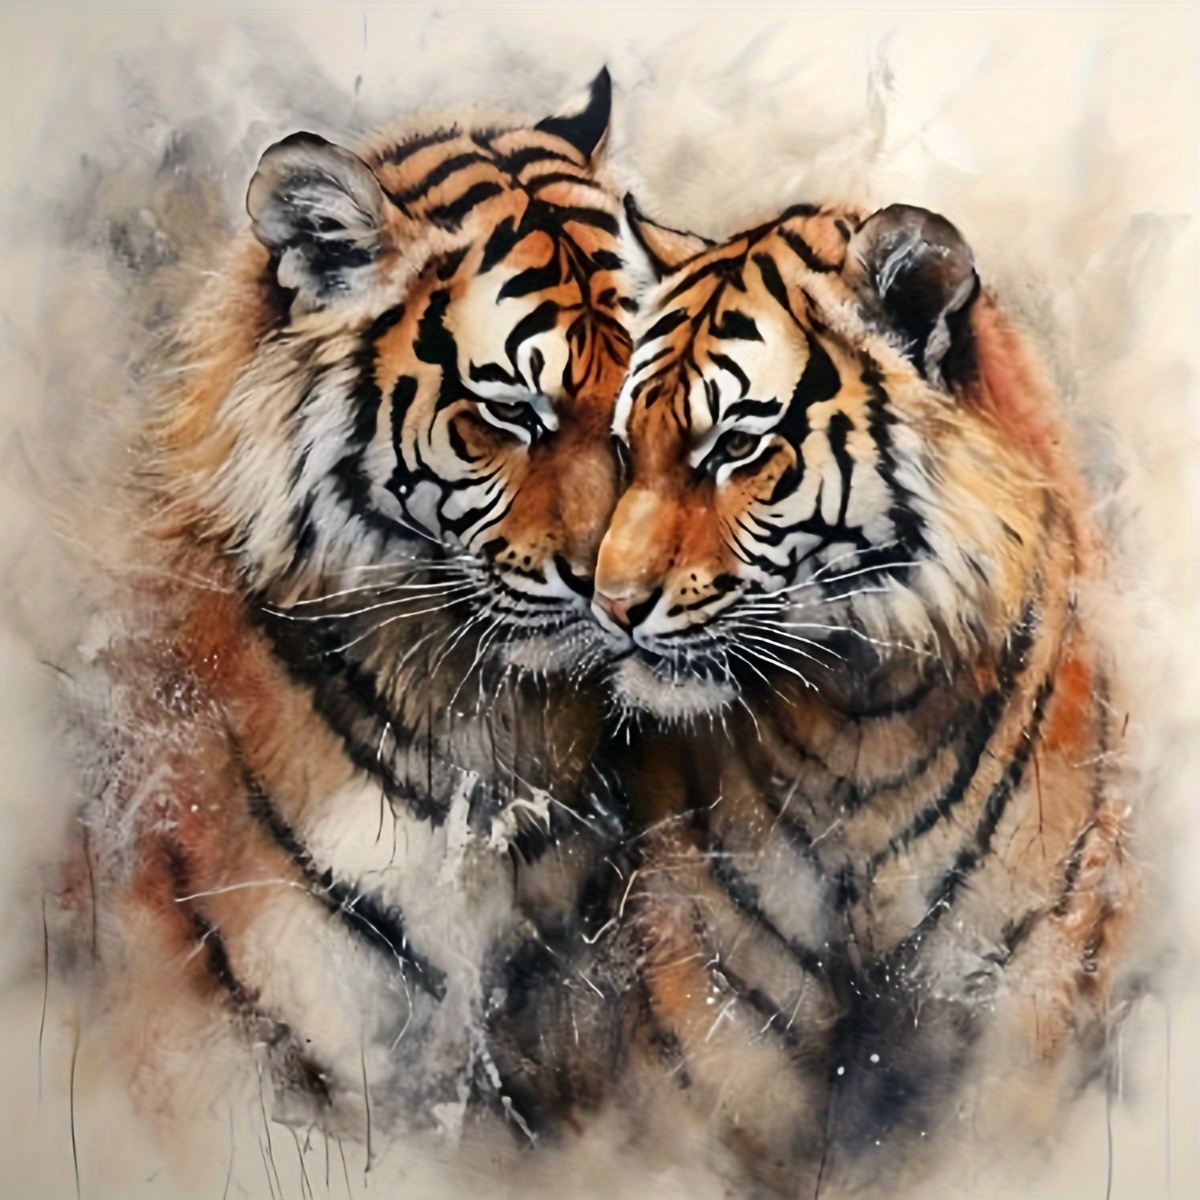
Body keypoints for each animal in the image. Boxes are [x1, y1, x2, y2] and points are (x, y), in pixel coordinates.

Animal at [588, 197, 1139, 1195]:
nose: (607, 604)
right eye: (624, 446)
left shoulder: (1028, 976)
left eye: (735, 447)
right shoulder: (709, 993)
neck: (864, 716)